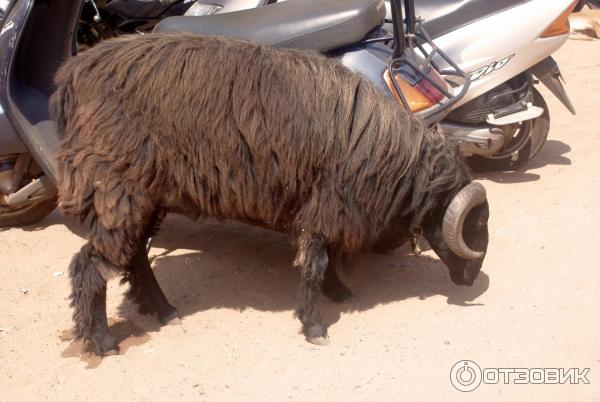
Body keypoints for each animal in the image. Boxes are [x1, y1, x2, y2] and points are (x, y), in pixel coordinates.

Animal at [51, 33, 490, 354]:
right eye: (474, 227)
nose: (469, 280)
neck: (388, 153)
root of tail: (72, 75)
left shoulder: (324, 209)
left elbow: (324, 260)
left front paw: (337, 292)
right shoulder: (325, 205)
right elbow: (314, 265)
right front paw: (314, 325)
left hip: (145, 194)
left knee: (135, 257)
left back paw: (163, 310)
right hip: (114, 187)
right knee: (88, 265)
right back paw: (101, 340)